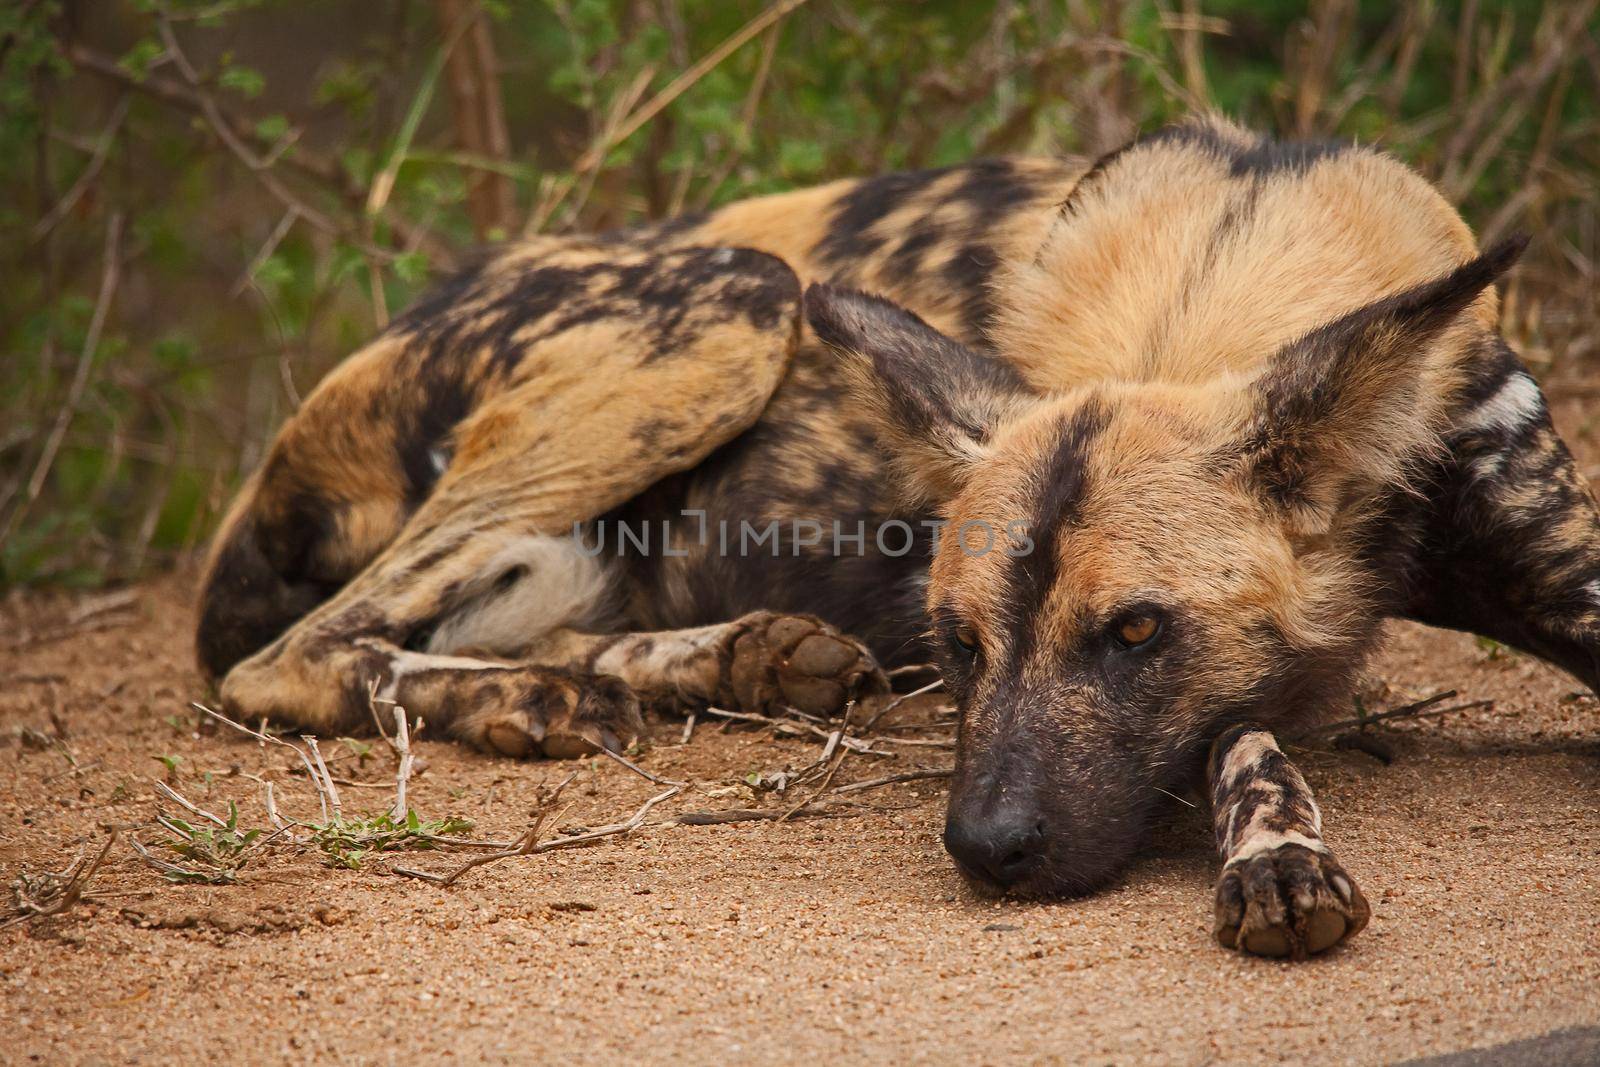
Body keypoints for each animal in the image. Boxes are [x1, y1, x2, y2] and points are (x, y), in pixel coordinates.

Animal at [196, 116, 1600, 959]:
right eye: (959, 641)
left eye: (1135, 630)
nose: (986, 847)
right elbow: (1242, 727)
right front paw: (1278, 852)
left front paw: (1278, 853)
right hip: (733, 300)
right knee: (288, 657)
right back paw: (536, 699)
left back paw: (727, 659)